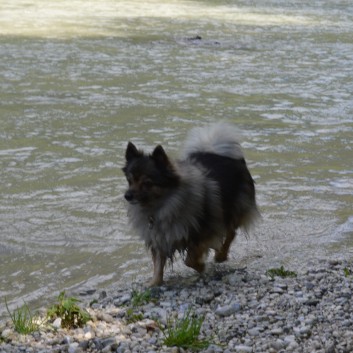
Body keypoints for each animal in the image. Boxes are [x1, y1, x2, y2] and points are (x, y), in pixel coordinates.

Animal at [122, 122, 258, 284]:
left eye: (147, 183)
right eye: (130, 181)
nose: (127, 196)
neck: (163, 206)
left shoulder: (203, 233)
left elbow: (190, 260)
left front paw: (202, 266)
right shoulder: (160, 238)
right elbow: (158, 265)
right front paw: (154, 283)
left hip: (232, 210)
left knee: (231, 233)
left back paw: (221, 256)